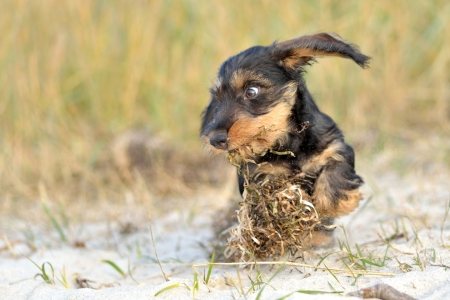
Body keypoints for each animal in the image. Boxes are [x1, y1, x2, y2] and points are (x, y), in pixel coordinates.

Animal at [200, 32, 370, 247]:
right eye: (218, 99)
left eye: (251, 91)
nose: (215, 139)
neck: (289, 144)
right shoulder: (258, 175)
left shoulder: (334, 147)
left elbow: (335, 170)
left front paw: (338, 202)